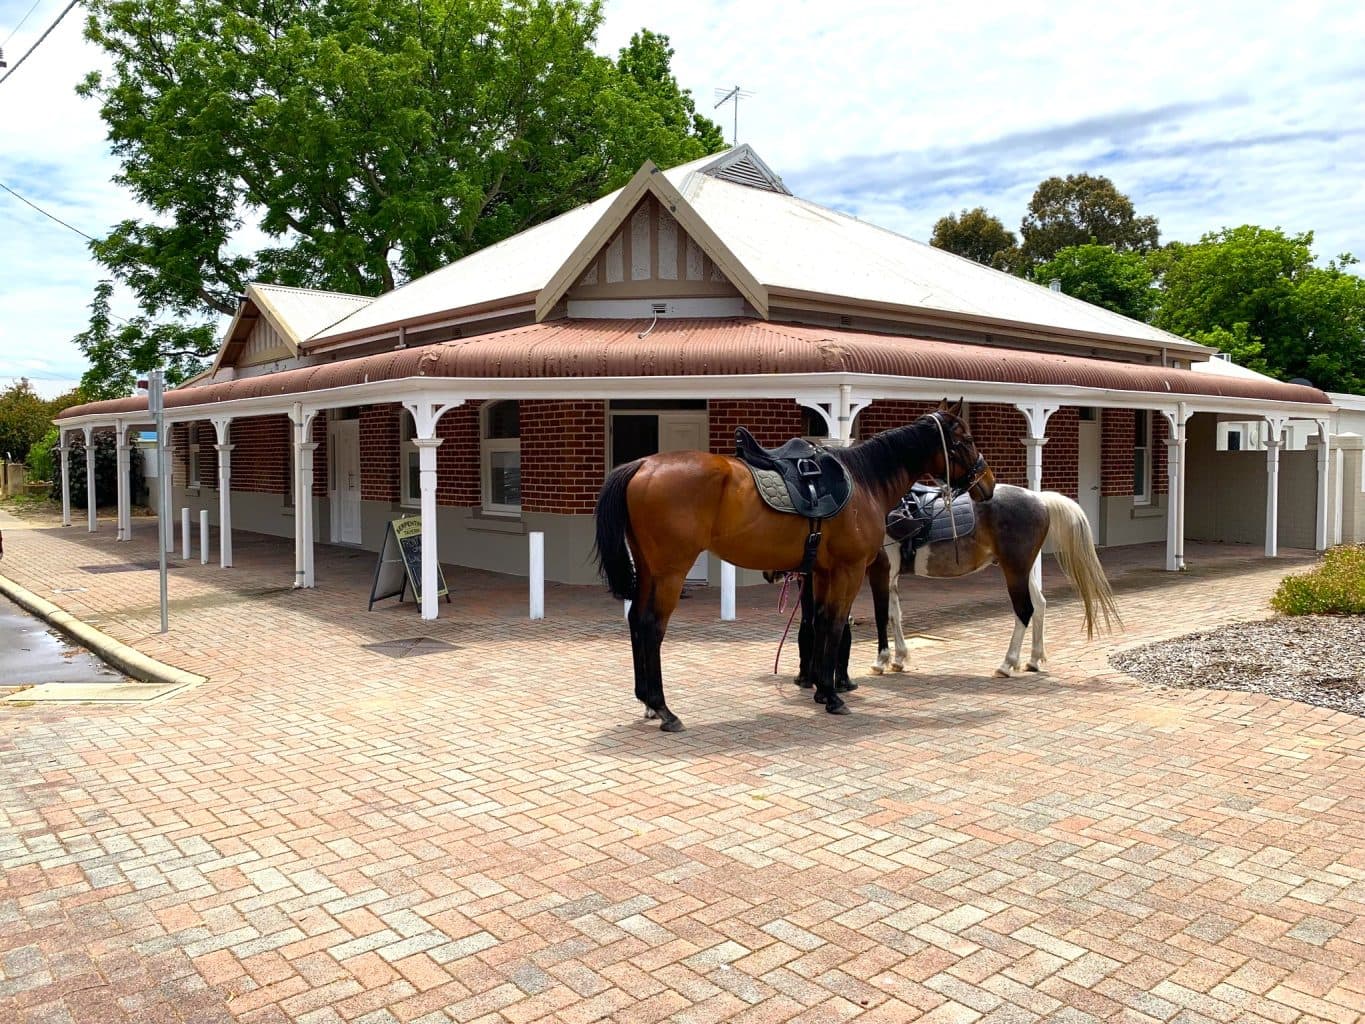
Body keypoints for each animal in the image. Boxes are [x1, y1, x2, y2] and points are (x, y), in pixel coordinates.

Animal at [595, 401, 993, 731]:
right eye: (966, 439)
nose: (986, 483)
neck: (863, 481)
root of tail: (642, 465)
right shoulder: (849, 571)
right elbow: (834, 625)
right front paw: (831, 695)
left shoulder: (820, 572)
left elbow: (818, 623)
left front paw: (818, 687)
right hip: (670, 573)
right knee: (651, 626)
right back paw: (664, 709)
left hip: (649, 570)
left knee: (637, 622)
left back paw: (648, 702)